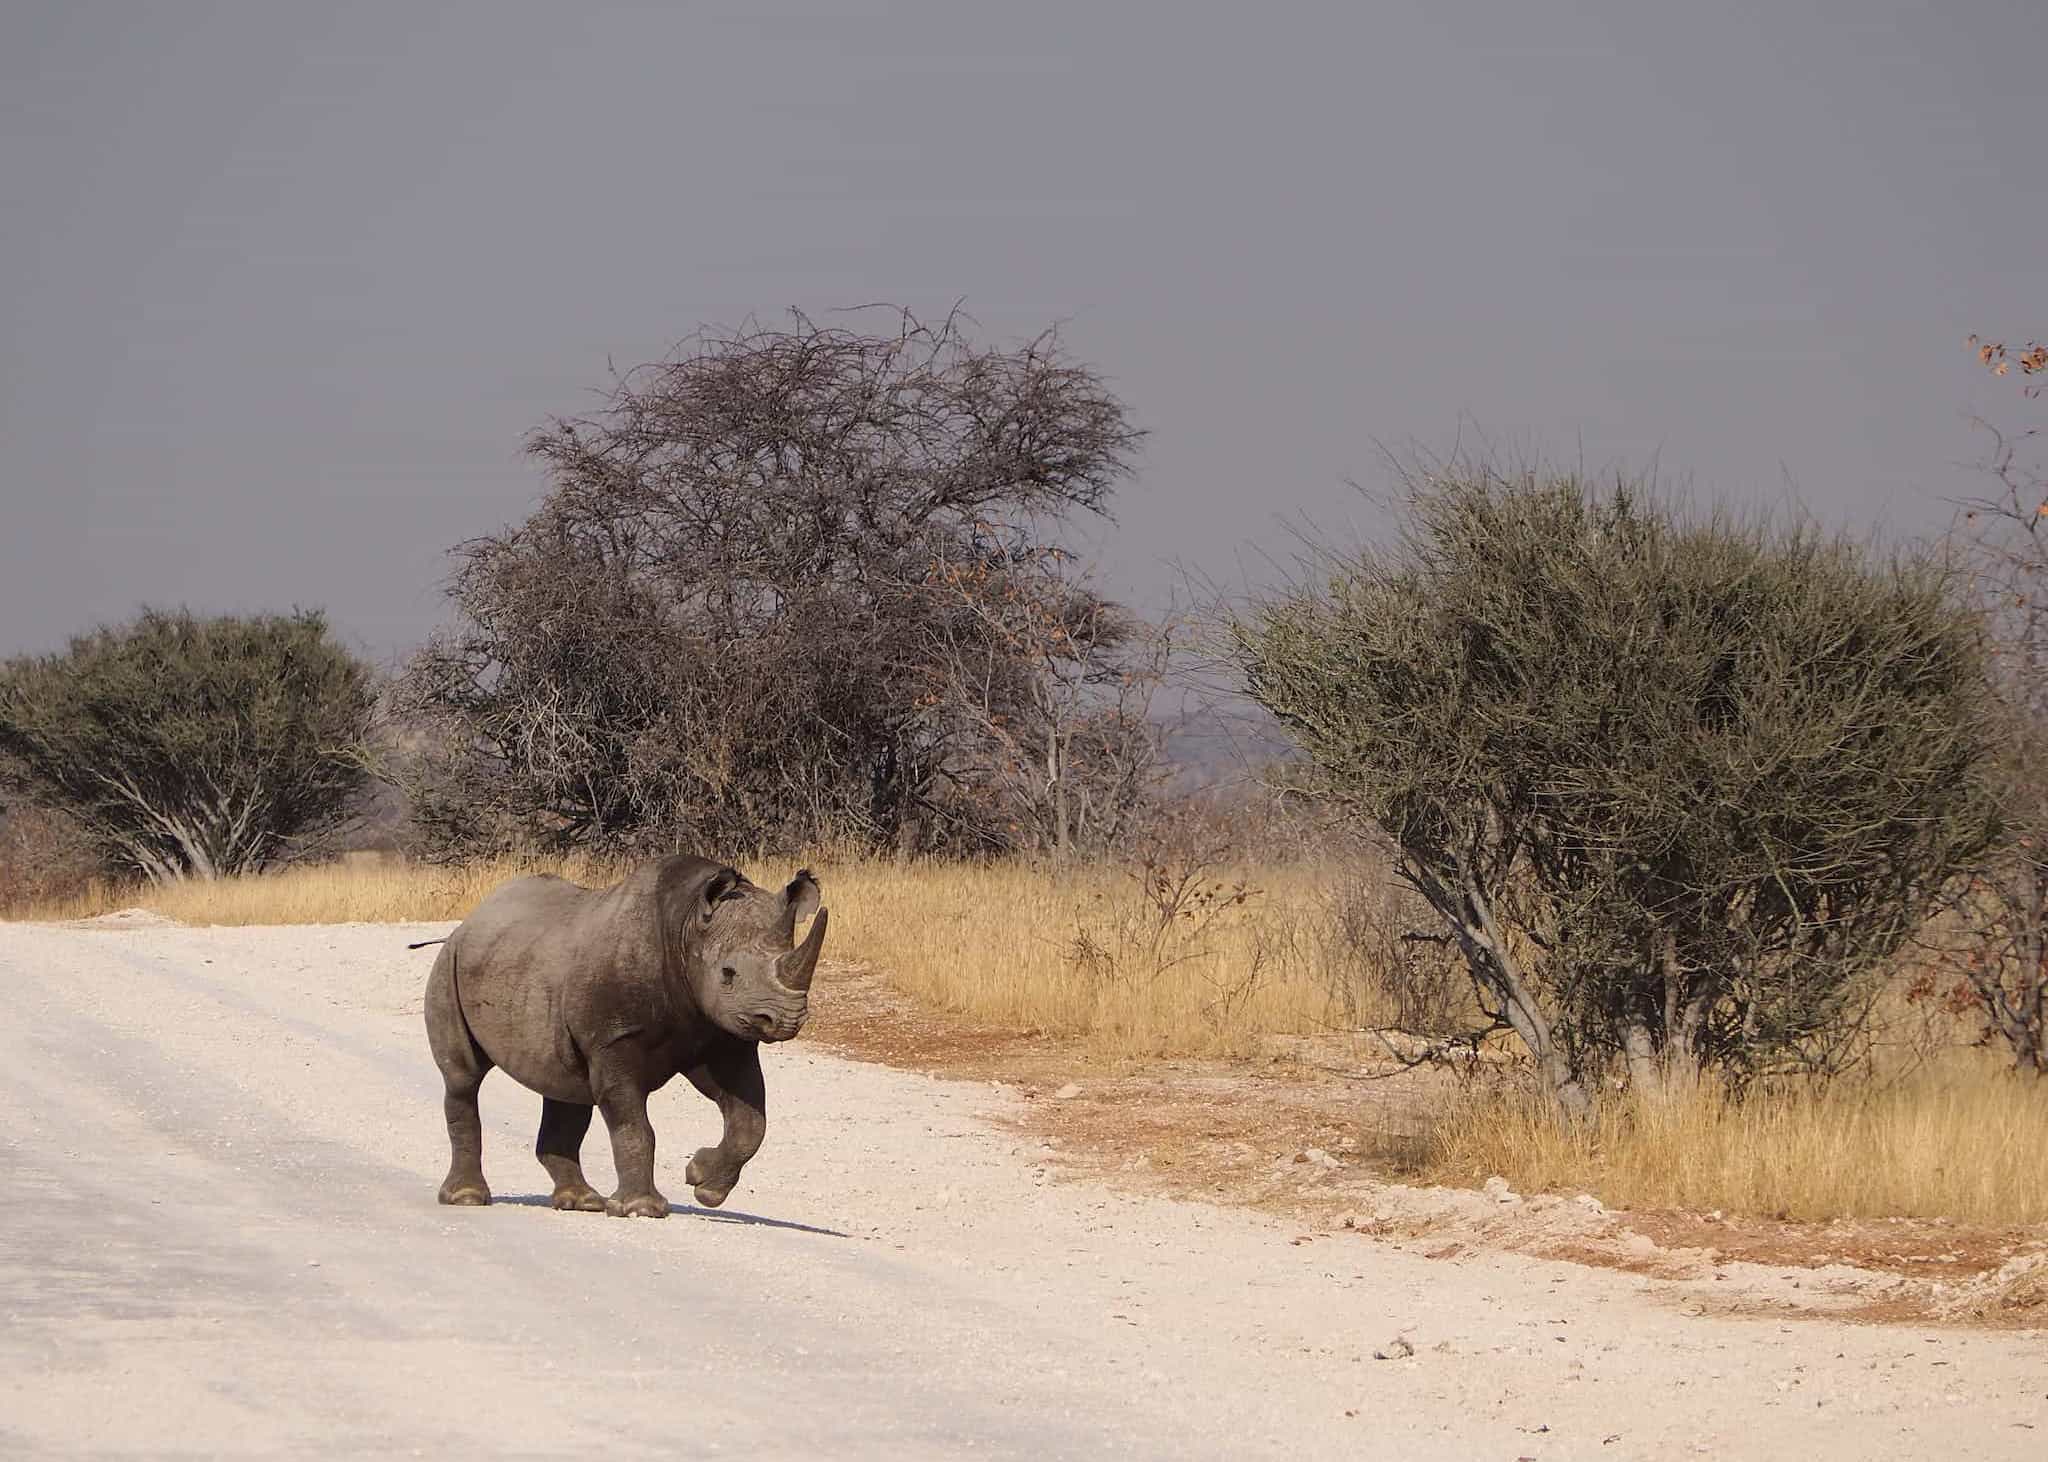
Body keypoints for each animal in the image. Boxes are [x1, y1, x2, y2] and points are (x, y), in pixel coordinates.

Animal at [422, 854, 827, 1218]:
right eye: (728, 974)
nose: (785, 1019)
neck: (686, 925)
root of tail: (469, 921)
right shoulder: (613, 1039)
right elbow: (634, 1124)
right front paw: (641, 1209)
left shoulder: (721, 1034)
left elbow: (750, 1120)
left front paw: (703, 1184)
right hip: (449, 964)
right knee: (463, 1078)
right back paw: (467, 1198)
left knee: (566, 1087)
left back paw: (582, 1201)